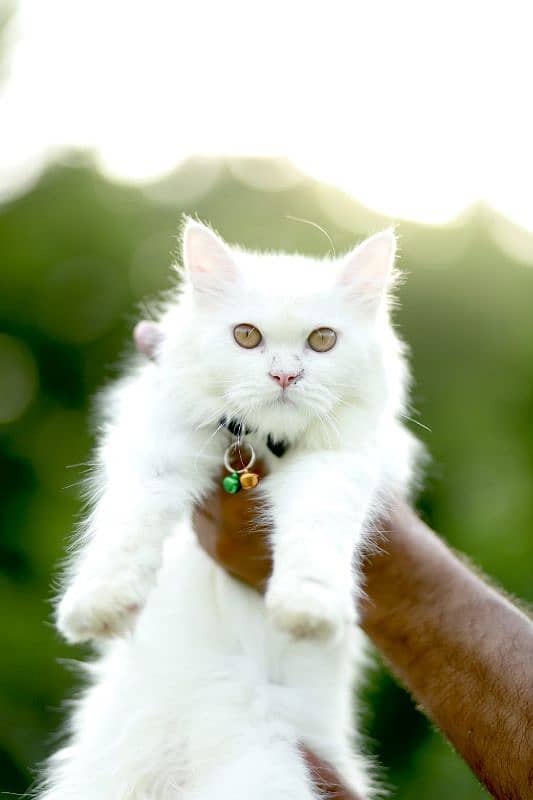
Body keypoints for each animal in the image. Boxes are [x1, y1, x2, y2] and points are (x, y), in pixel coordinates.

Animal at [39, 219, 418, 800]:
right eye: (246, 336)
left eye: (322, 340)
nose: (285, 376)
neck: (264, 444)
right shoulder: (157, 446)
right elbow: (126, 529)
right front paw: (99, 606)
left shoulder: (335, 468)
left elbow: (314, 539)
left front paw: (307, 610)